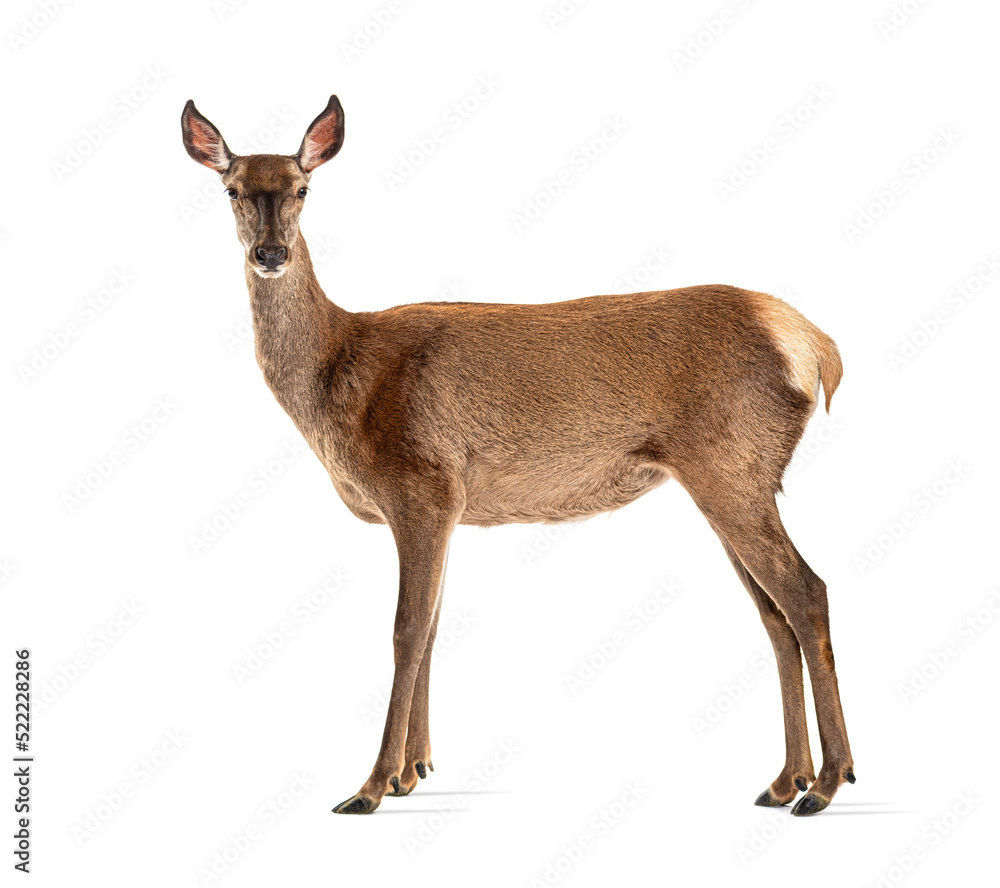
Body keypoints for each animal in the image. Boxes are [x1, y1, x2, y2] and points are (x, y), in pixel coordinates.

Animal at [181, 94, 855, 817]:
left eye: (303, 188)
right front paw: (413, 770)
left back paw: (828, 782)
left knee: (806, 592)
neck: (339, 375)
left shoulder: (421, 484)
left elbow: (406, 629)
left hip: (732, 467)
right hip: (732, 478)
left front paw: (370, 787)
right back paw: (785, 780)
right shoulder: (446, 507)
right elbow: (434, 627)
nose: (270, 252)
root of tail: (815, 347)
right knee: (774, 613)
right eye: (232, 189)